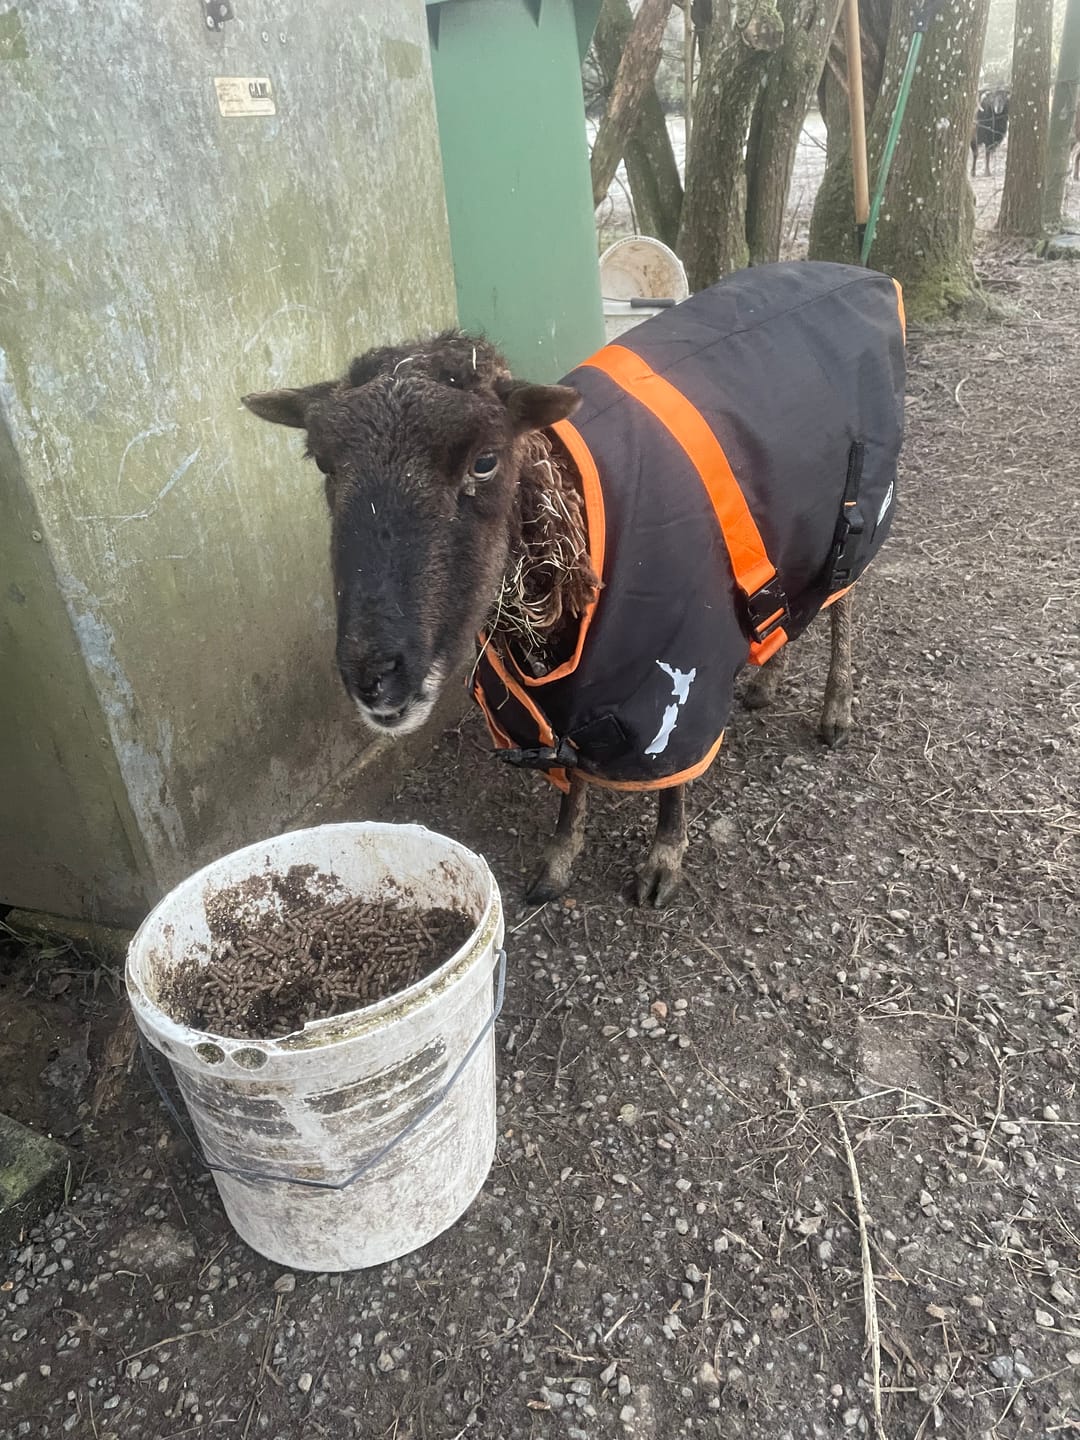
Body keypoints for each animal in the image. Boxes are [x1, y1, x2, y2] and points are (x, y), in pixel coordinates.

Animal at [242, 262, 905, 907]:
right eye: (324, 462)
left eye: (485, 460)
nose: (375, 675)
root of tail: (854, 271)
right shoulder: (561, 691)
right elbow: (570, 771)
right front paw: (559, 859)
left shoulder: (684, 670)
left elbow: (672, 776)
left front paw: (664, 859)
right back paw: (767, 679)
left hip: (857, 515)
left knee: (844, 603)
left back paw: (837, 709)